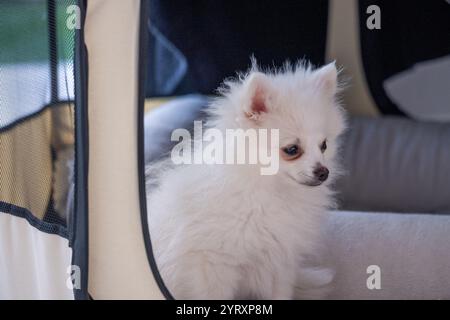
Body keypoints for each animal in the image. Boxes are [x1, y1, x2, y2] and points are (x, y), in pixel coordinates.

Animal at [146, 60, 346, 300]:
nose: (323, 172)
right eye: (292, 149)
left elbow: (280, 293)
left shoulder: (280, 260)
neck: (267, 188)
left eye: (324, 145)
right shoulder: (212, 264)